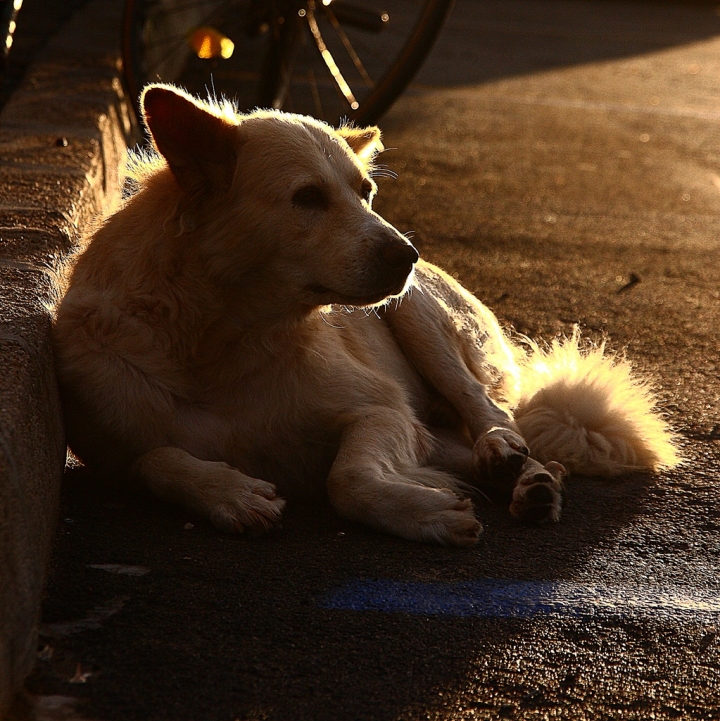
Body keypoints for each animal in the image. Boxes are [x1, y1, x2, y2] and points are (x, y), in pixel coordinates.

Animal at [52, 84, 680, 544]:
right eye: (307, 198)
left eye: (366, 193)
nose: (407, 254)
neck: (221, 340)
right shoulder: (111, 451)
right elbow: (155, 459)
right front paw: (228, 494)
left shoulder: (381, 409)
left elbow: (348, 480)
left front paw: (427, 515)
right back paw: (525, 482)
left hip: (421, 317)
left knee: (493, 409)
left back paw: (507, 458)